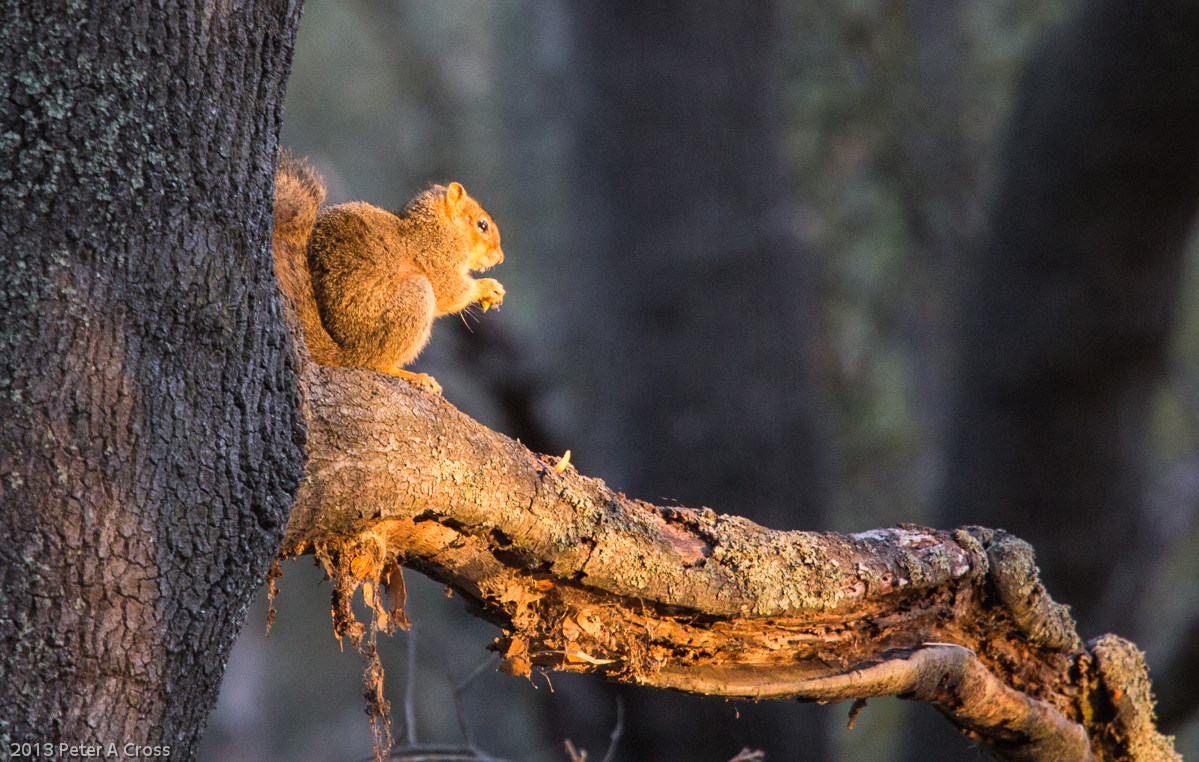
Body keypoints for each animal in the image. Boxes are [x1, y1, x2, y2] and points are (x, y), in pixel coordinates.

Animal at [272, 152, 505, 394]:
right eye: (482, 225)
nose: (500, 257)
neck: (442, 227)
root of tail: (346, 350)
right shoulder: (438, 256)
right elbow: (450, 292)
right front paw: (488, 287)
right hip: (415, 298)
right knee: (376, 362)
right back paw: (411, 374)